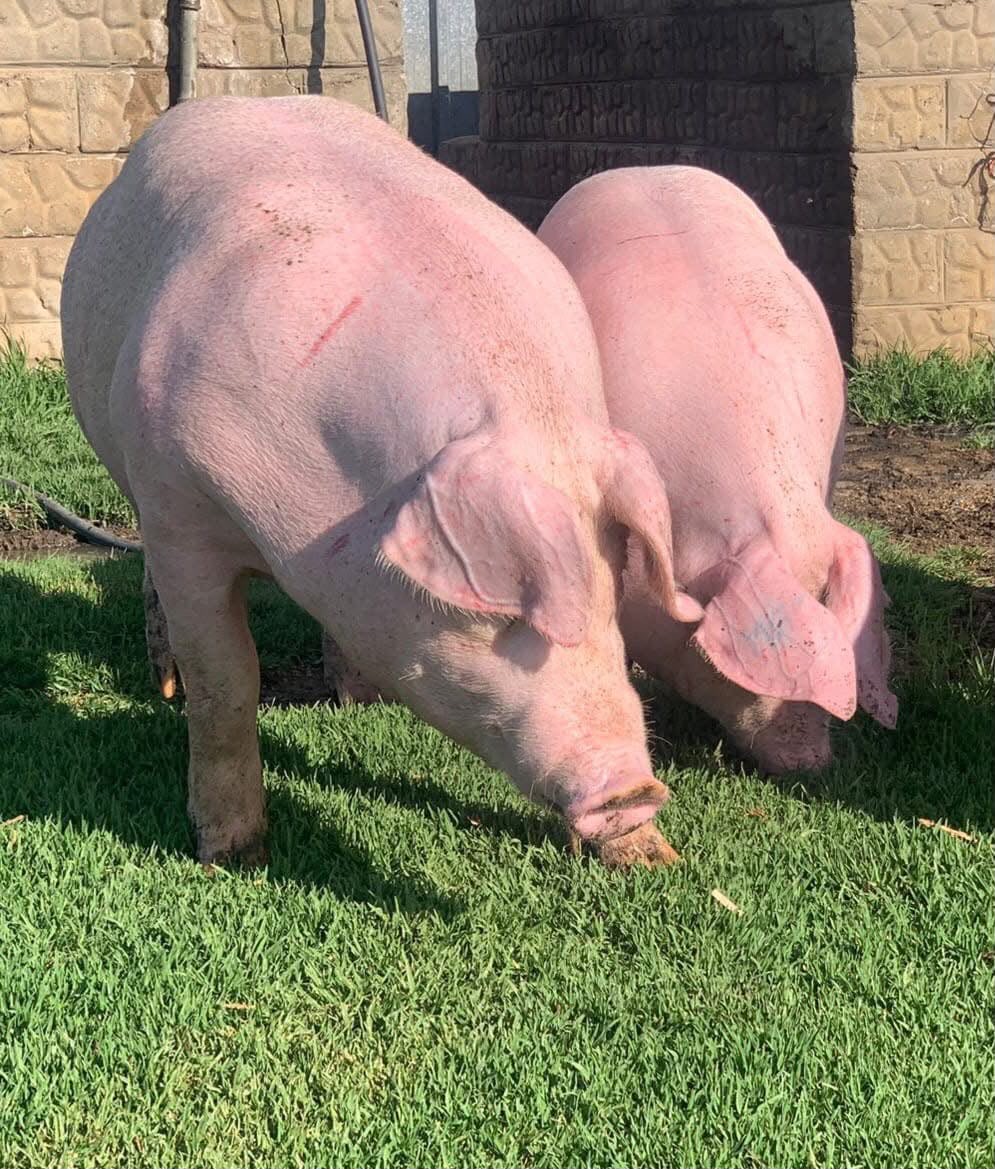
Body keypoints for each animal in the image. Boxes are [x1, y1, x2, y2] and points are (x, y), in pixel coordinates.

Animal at [61, 97, 705, 871]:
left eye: (611, 594)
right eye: (502, 616)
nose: (632, 789)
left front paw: (655, 859)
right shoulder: (179, 503)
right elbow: (226, 681)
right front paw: (234, 856)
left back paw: (357, 697)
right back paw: (166, 688)